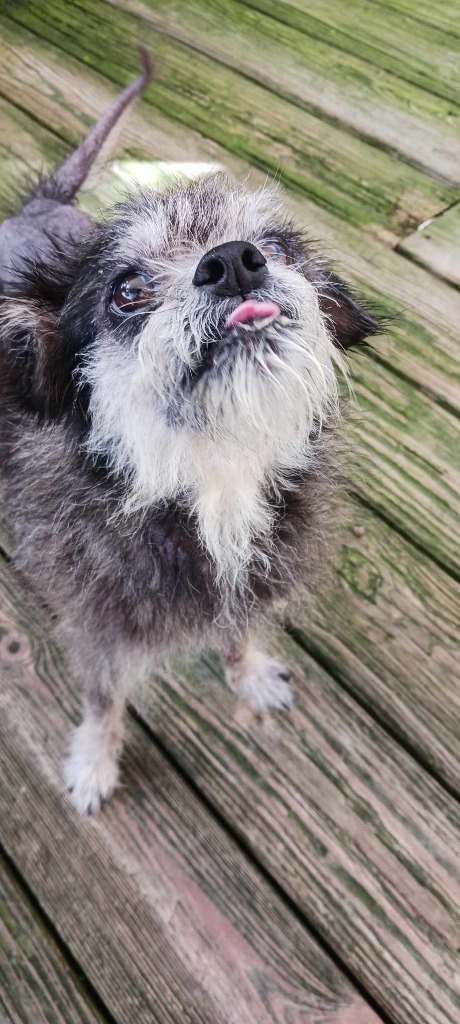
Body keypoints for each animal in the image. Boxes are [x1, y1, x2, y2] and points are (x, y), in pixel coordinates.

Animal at [0, 59, 377, 815]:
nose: (236, 260)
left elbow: (237, 635)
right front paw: (94, 762)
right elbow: (102, 700)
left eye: (278, 247)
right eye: (127, 290)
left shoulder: (244, 589)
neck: (212, 479)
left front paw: (250, 673)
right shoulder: (97, 632)